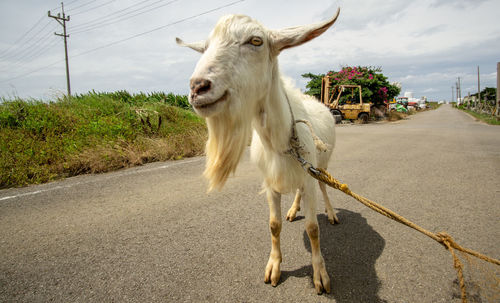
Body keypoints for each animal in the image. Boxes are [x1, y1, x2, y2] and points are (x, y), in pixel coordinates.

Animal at [178, 8, 342, 296]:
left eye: (256, 41)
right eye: (205, 47)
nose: (198, 87)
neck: (281, 141)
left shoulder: (309, 177)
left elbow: (313, 228)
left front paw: (320, 275)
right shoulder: (270, 183)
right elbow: (273, 226)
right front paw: (274, 267)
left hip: (321, 165)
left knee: (324, 186)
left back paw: (332, 214)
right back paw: (293, 210)